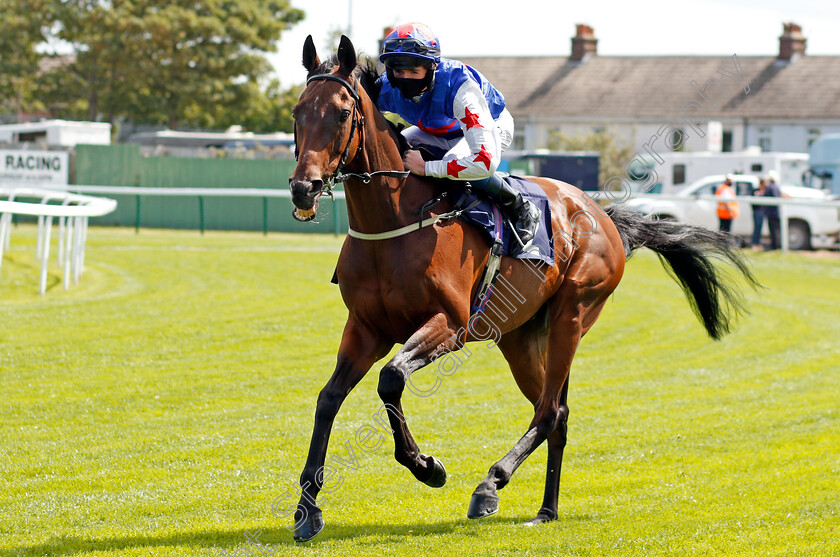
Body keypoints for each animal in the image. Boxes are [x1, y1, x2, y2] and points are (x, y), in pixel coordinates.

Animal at [286, 33, 756, 540]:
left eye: (342, 114)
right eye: (297, 112)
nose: (303, 188)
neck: (394, 221)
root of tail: (604, 215)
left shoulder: (449, 324)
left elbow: (391, 379)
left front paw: (428, 467)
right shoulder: (365, 328)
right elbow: (328, 399)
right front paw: (307, 508)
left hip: (572, 314)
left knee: (549, 411)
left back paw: (490, 484)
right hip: (520, 336)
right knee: (557, 414)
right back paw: (546, 509)